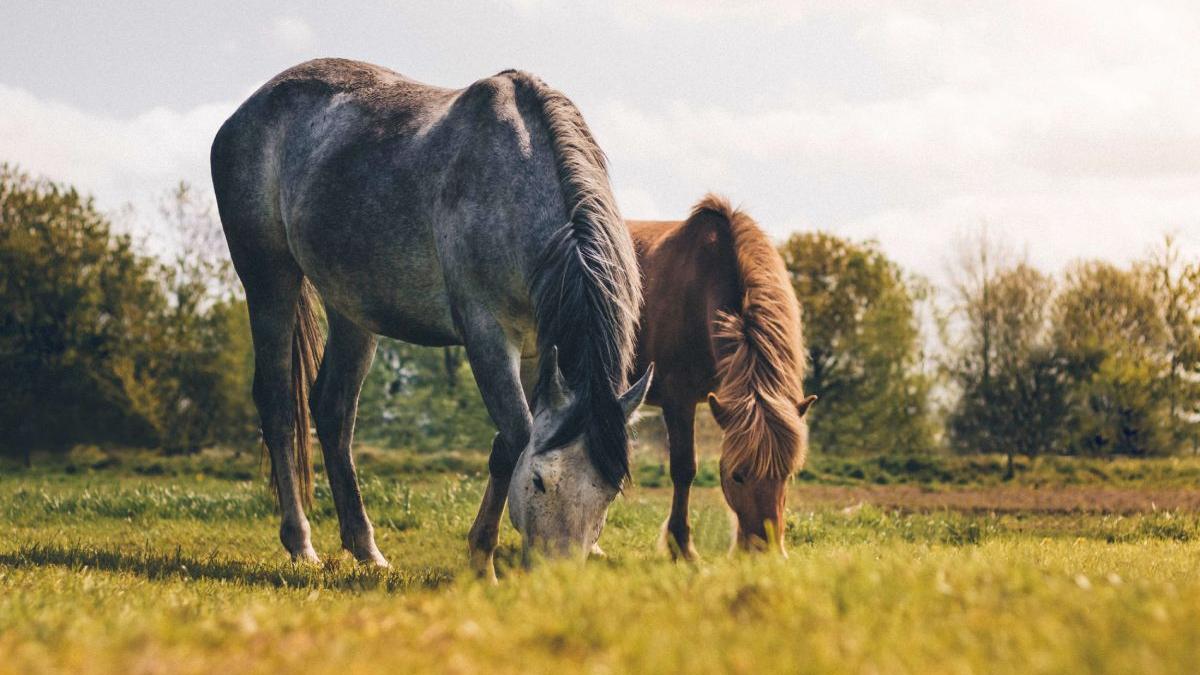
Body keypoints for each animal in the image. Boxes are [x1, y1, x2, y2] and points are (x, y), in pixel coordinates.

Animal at [211, 57, 652, 576]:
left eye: (608, 493)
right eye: (541, 481)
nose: (556, 577)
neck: (516, 181)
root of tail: (245, 113)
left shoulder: (536, 349)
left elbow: (507, 444)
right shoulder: (486, 334)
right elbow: (516, 438)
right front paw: (482, 559)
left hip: (351, 310)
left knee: (333, 411)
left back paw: (366, 549)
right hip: (269, 280)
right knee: (280, 406)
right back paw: (301, 543)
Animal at [628, 194, 816, 557]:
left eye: (786, 475)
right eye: (737, 475)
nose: (765, 552)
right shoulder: (678, 399)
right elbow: (684, 469)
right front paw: (682, 547)